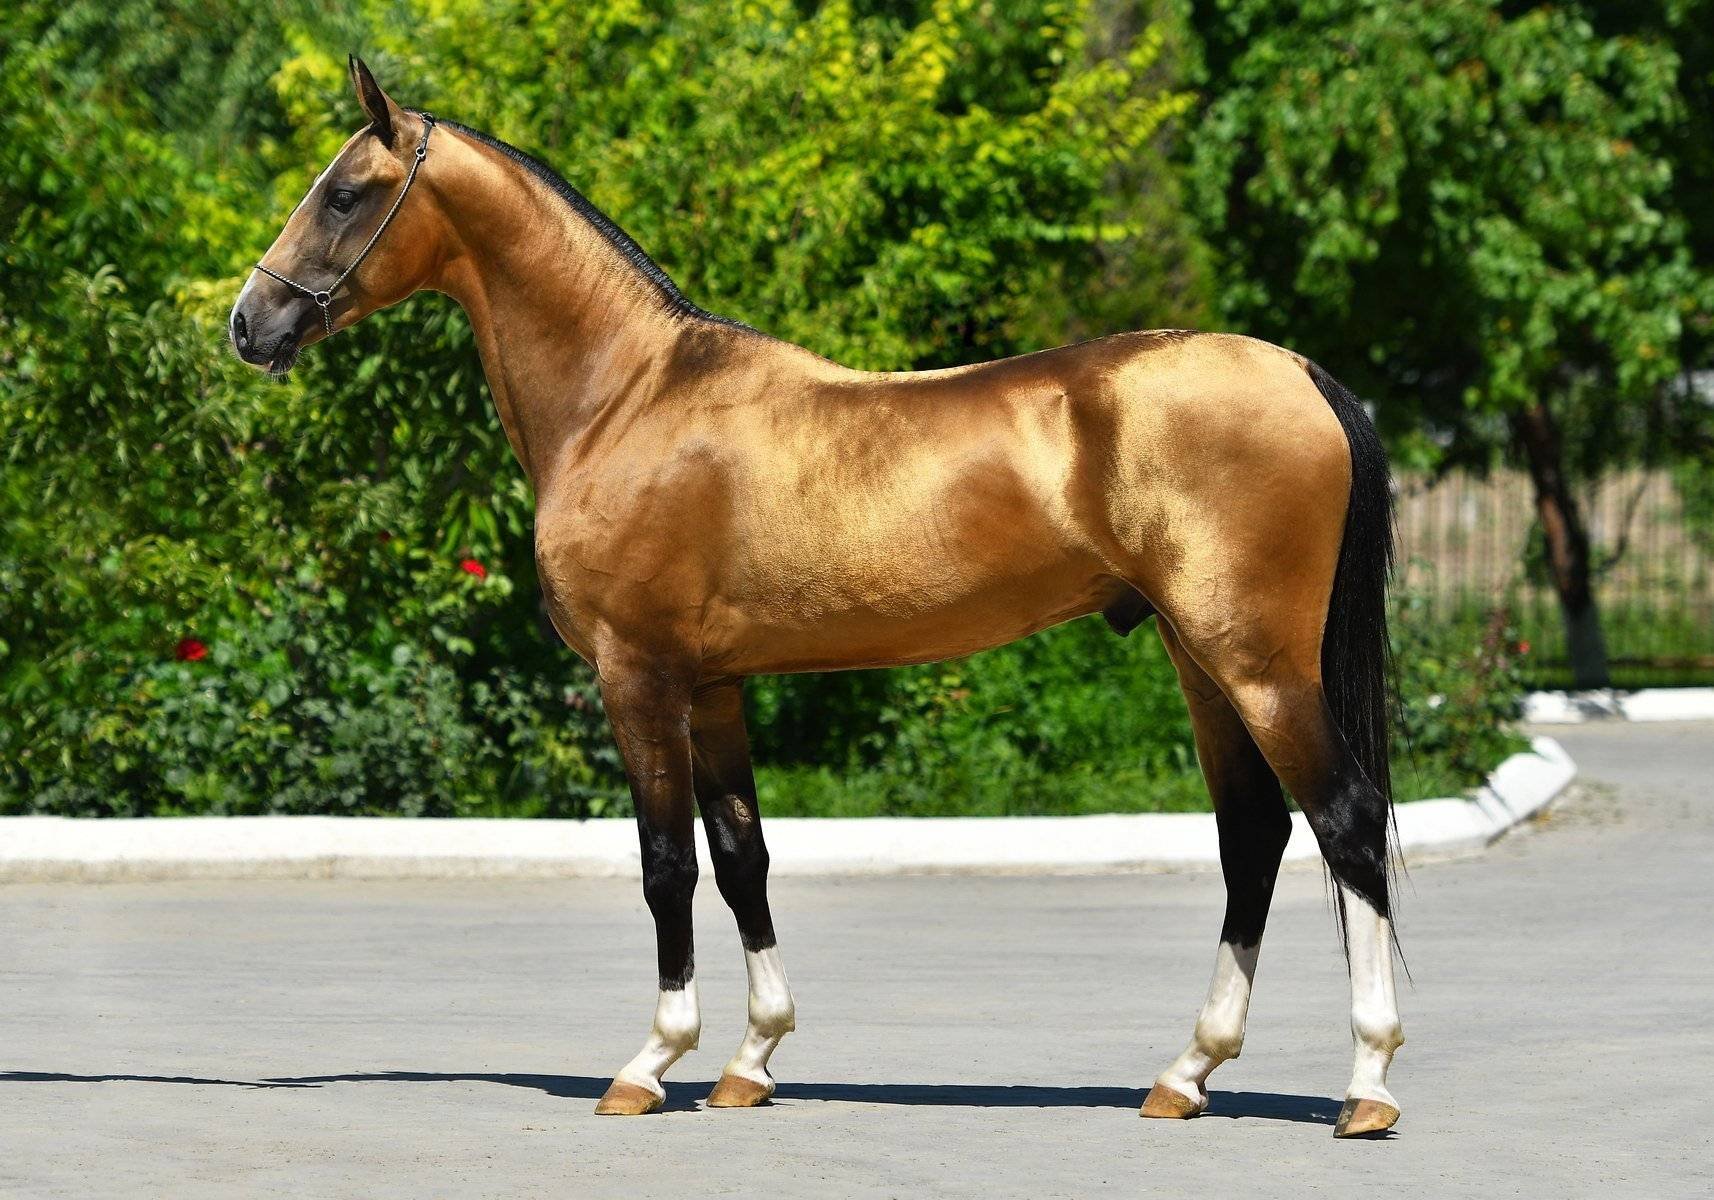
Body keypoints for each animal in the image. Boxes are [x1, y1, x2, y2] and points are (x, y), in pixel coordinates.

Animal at [229, 58, 1404, 1138]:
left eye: (346, 193)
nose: (250, 322)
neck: (628, 398)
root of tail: (1302, 373)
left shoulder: (638, 677)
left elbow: (666, 866)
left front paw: (650, 1063)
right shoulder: (714, 690)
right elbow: (741, 858)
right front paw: (750, 1061)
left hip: (1255, 665)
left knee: (1342, 822)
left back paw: (1367, 1086)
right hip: (1199, 660)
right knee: (1253, 837)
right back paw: (1186, 1074)